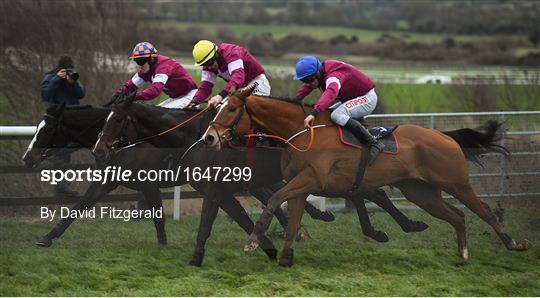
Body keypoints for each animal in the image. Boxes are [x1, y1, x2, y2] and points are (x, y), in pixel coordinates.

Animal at [92, 94, 430, 264]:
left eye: (117, 119)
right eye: (104, 118)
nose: (99, 150)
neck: (193, 137)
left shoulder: (219, 187)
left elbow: (215, 221)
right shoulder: (224, 188)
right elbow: (242, 216)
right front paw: (267, 245)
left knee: (373, 194)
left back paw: (402, 225)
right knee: (364, 193)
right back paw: (383, 228)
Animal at [202, 85, 532, 266]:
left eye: (231, 109)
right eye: (218, 108)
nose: (209, 137)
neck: (302, 132)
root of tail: (445, 136)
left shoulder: (312, 180)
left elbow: (275, 201)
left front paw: (252, 241)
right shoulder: (301, 184)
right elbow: (292, 218)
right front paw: (285, 259)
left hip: (456, 182)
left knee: (484, 210)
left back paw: (513, 244)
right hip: (420, 192)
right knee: (458, 216)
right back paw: (462, 252)